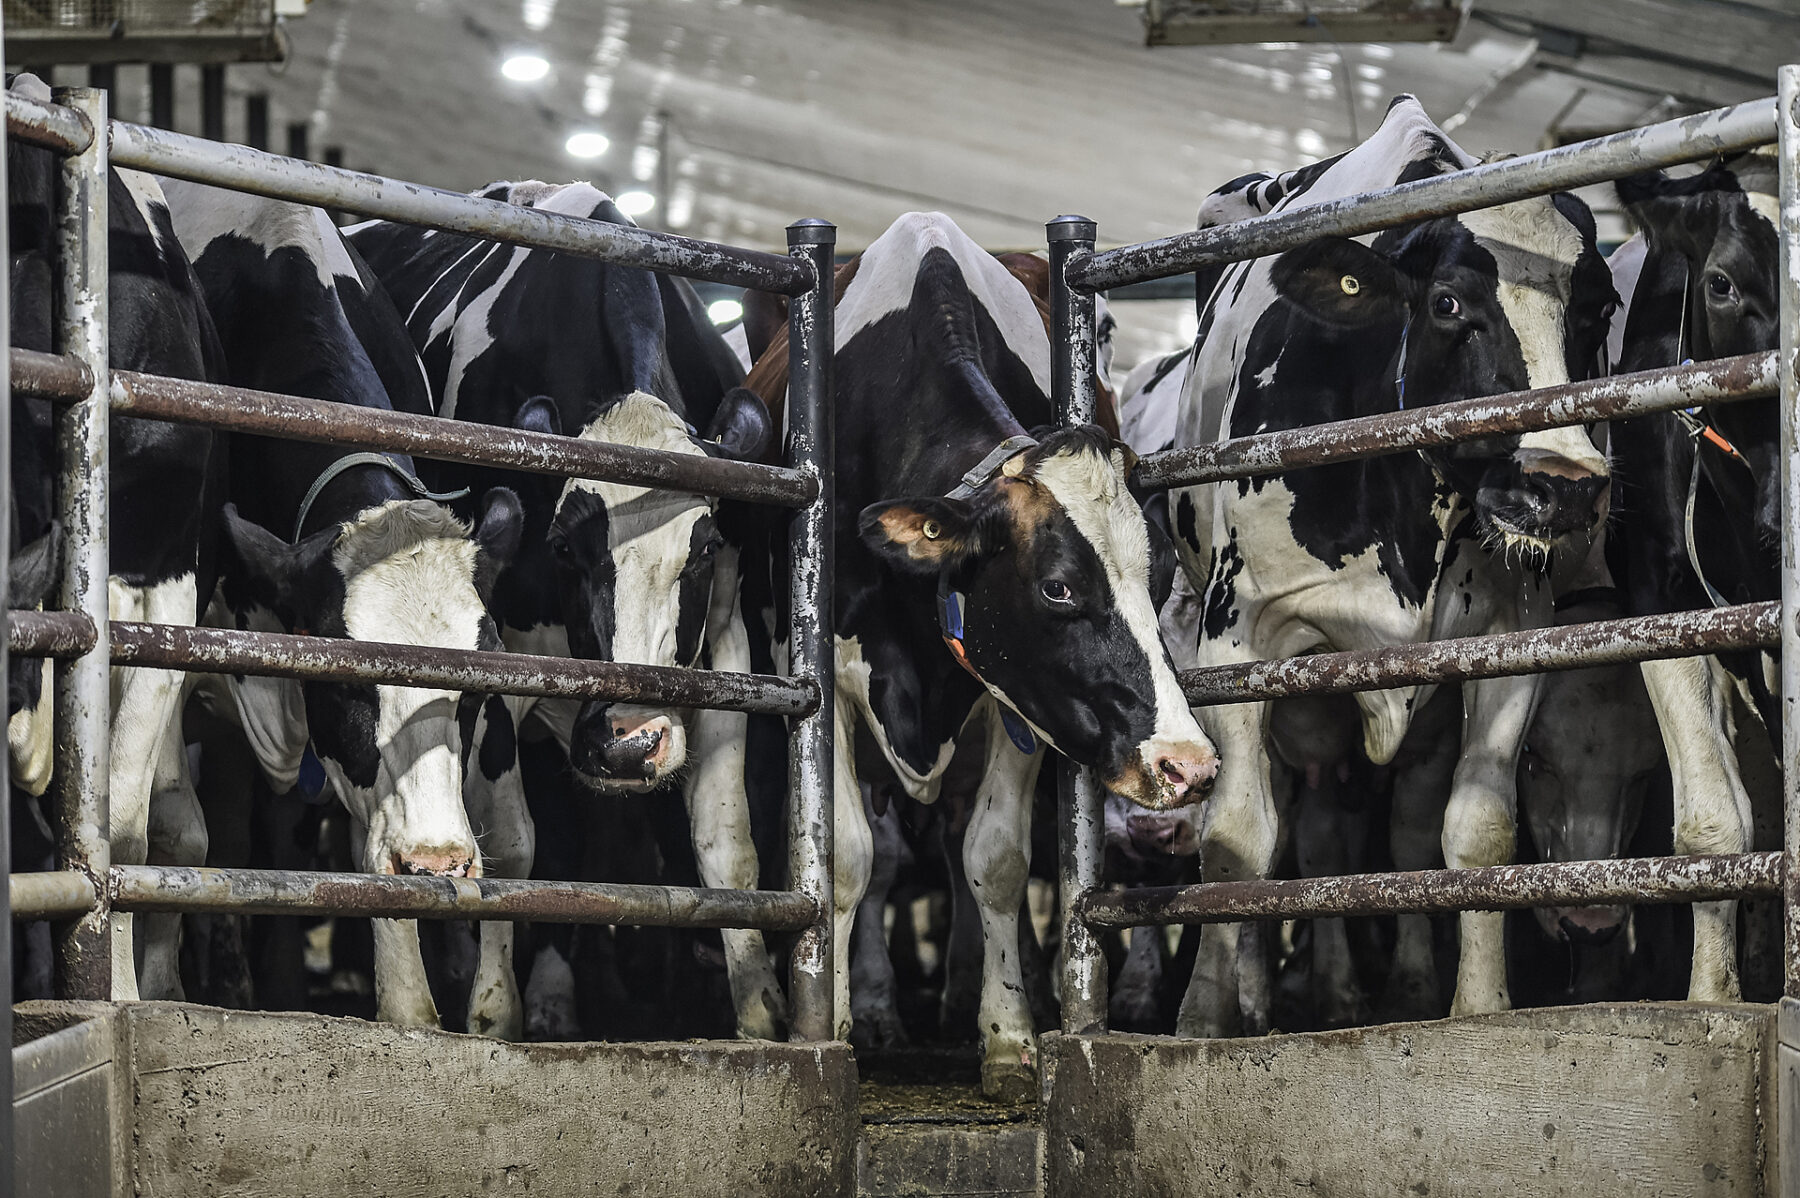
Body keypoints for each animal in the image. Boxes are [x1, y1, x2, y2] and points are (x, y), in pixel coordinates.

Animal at [347, 184, 784, 1036]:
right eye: (563, 549)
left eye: (704, 550)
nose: (627, 742)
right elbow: (514, 846)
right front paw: (494, 1011)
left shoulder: (727, 639)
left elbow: (727, 844)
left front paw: (760, 1016)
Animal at [1166, 95, 1620, 1028]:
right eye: (1448, 304)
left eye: (1596, 313)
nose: (1564, 487)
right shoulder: (1241, 639)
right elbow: (1235, 840)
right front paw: (1202, 1022)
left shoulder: (1512, 639)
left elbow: (1475, 830)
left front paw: (1477, 1008)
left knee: (1370, 828)